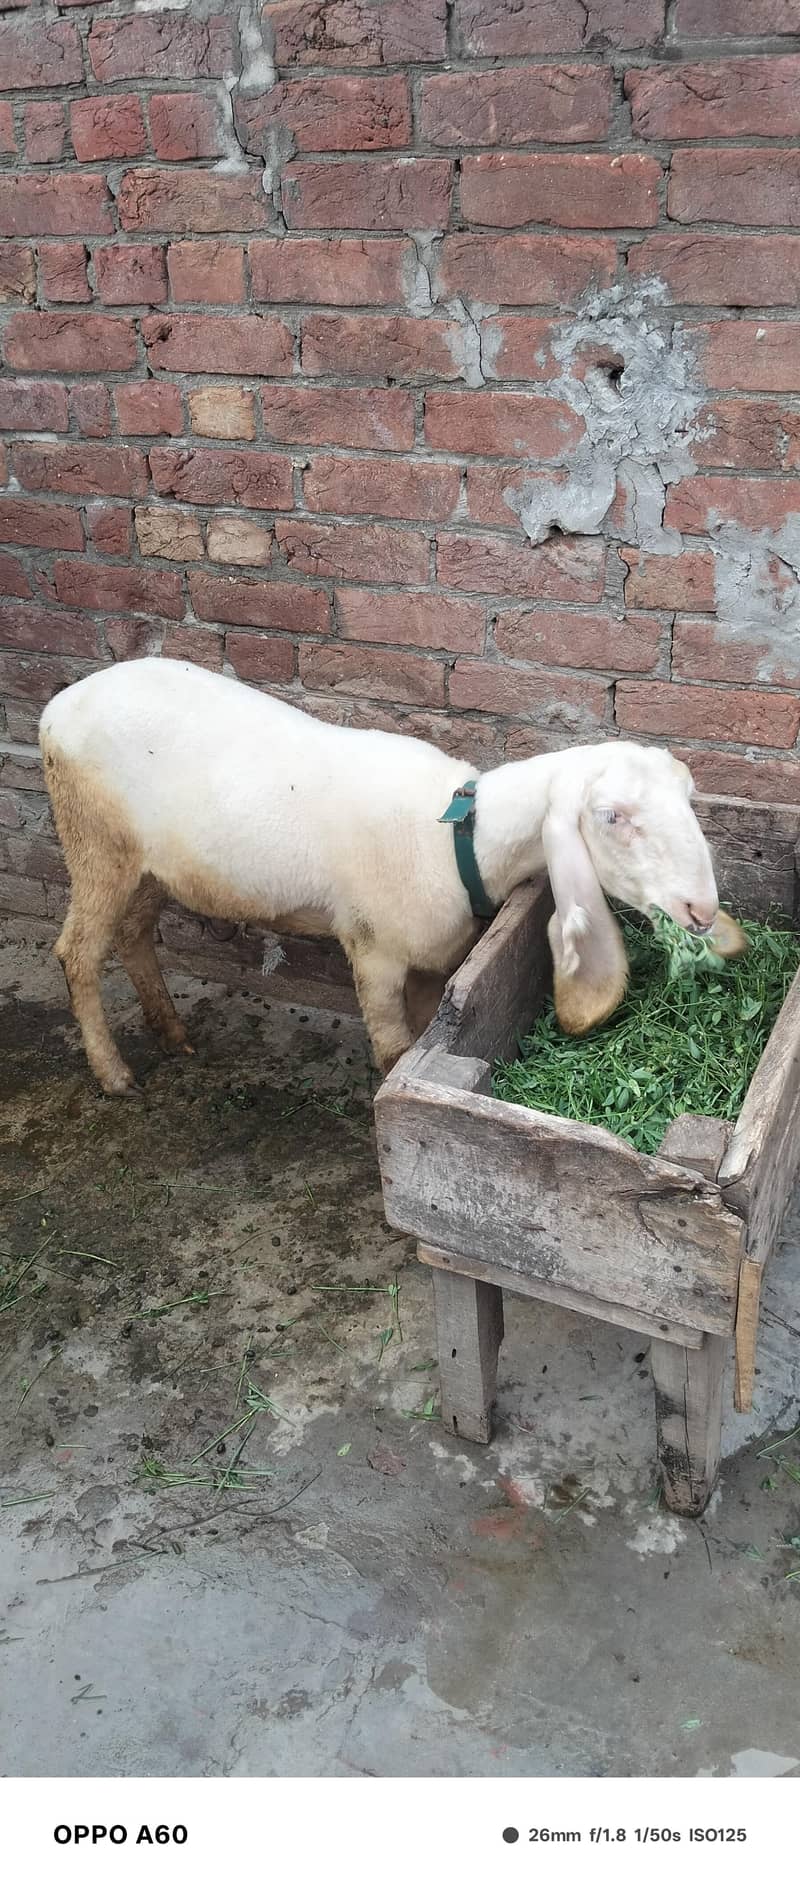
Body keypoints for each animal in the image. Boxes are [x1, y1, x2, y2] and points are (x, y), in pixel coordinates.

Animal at [39, 656, 720, 1096]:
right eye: (612, 816)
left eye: (688, 796)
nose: (703, 911)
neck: (455, 841)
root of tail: (57, 707)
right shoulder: (375, 950)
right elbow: (394, 1050)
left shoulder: (433, 957)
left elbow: (421, 1037)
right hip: (93, 840)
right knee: (77, 952)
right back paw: (114, 1075)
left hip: (148, 865)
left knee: (132, 935)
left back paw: (172, 1032)